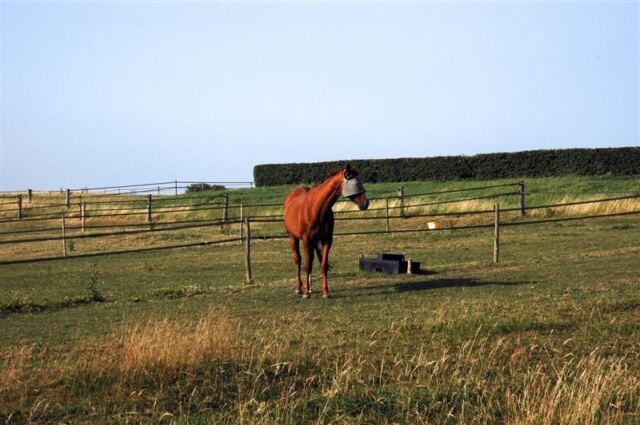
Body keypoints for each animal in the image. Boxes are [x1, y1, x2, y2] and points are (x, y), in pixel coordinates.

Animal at [284, 164, 369, 299]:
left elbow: (323, 265)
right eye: (353, 182)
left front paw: (325, 292)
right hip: (293, 237)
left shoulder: (327, 240)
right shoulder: (306, 240)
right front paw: (306, 293)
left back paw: (311, 288)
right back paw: (299, 288)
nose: (366, 202)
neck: (316, 207)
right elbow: (307, 265)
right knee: (298, 260)